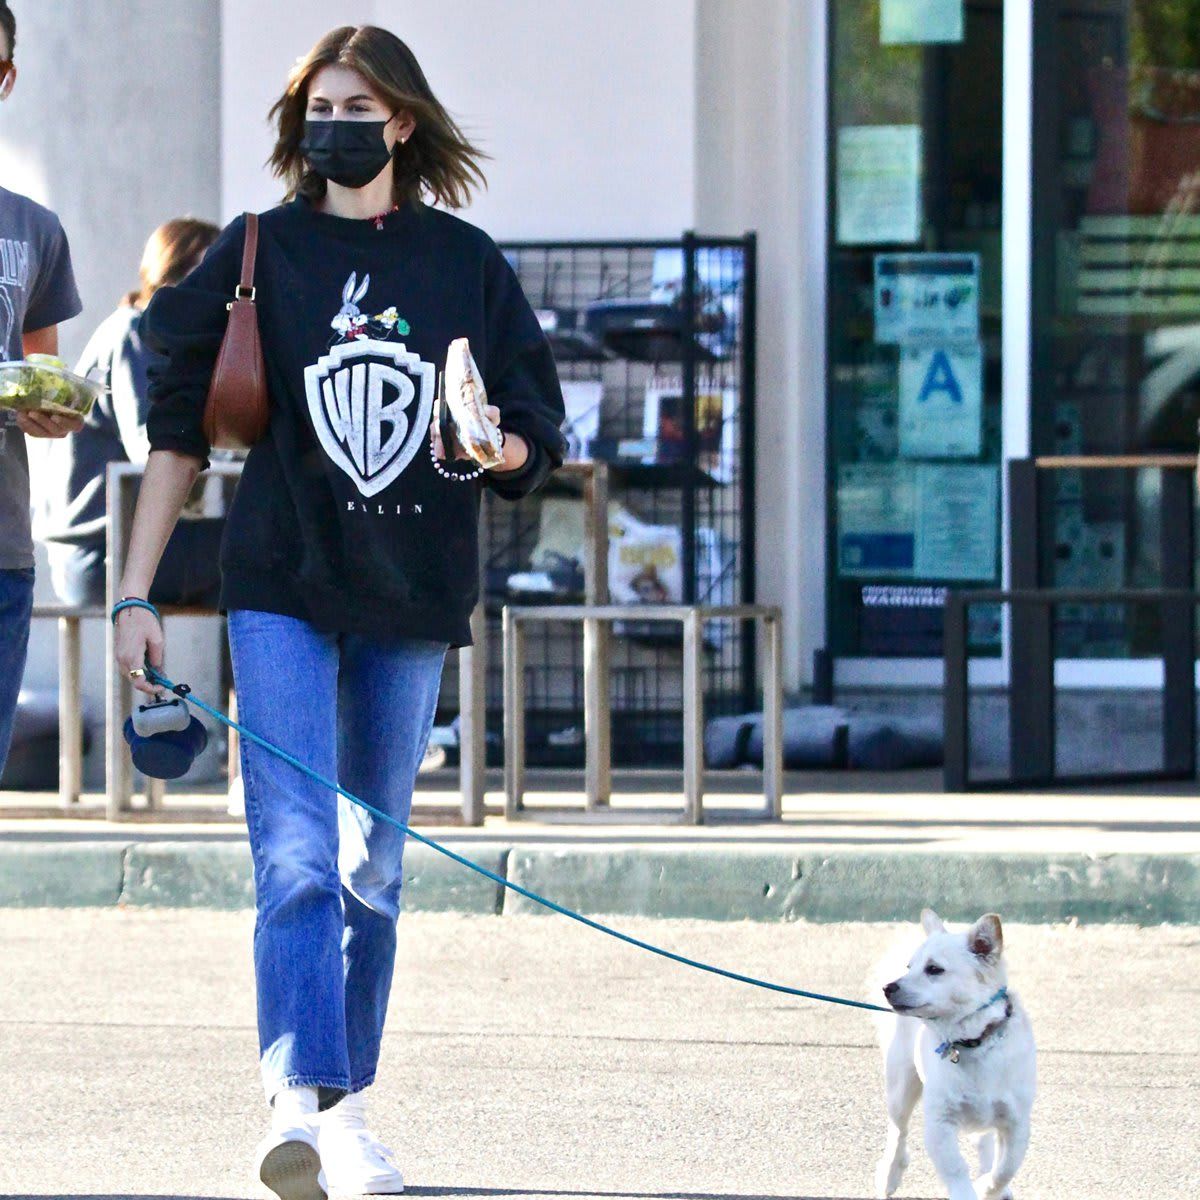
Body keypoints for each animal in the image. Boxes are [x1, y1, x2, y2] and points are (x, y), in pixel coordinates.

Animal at [878, 907, 1036, 1200]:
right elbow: (956, 1169)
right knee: (898, 1131)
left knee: (986, 1143)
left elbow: (1005, 1169)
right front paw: (969, 1189)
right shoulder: (939, 1123)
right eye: (909, 967)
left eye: (934, 969)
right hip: (900, 1089)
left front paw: (988, 1187)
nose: (888, 987)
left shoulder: (1017, 1123)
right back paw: (889, 1176)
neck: (974, 1041)